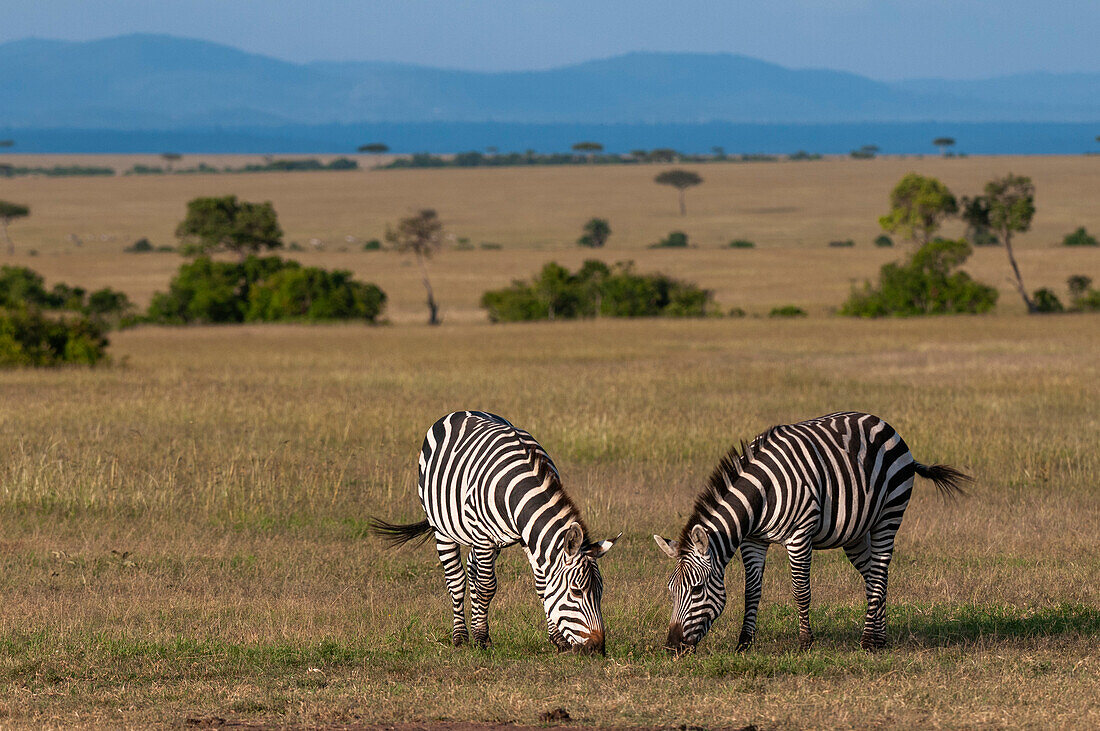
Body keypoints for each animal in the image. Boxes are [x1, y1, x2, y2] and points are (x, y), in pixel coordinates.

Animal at [371, 411, 620, 655]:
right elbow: (487, 587)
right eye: (576, 592)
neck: (519, 489)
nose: (597, 649)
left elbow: (542, 587)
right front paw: (482, 639)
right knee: (456, 579)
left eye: (601, 591)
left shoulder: (529, 539)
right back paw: (460, 637)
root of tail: (460, 412)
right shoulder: (484, 537)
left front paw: (557, 640)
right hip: (443, 528)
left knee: (472, 569)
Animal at [651, 413, 972, 650]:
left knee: (880, 571)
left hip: (889, 514)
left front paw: (805, 642)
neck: (760, 495)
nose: (672, 647)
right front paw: (744, 643)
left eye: (696, 589)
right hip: (857, 532)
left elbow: (800, 590)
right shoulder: (753, 540)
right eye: (671, 590)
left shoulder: (799, 536)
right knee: (874, 576)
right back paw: (879, 635)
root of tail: (882, 422)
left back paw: (869, 641)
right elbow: (751, 591)